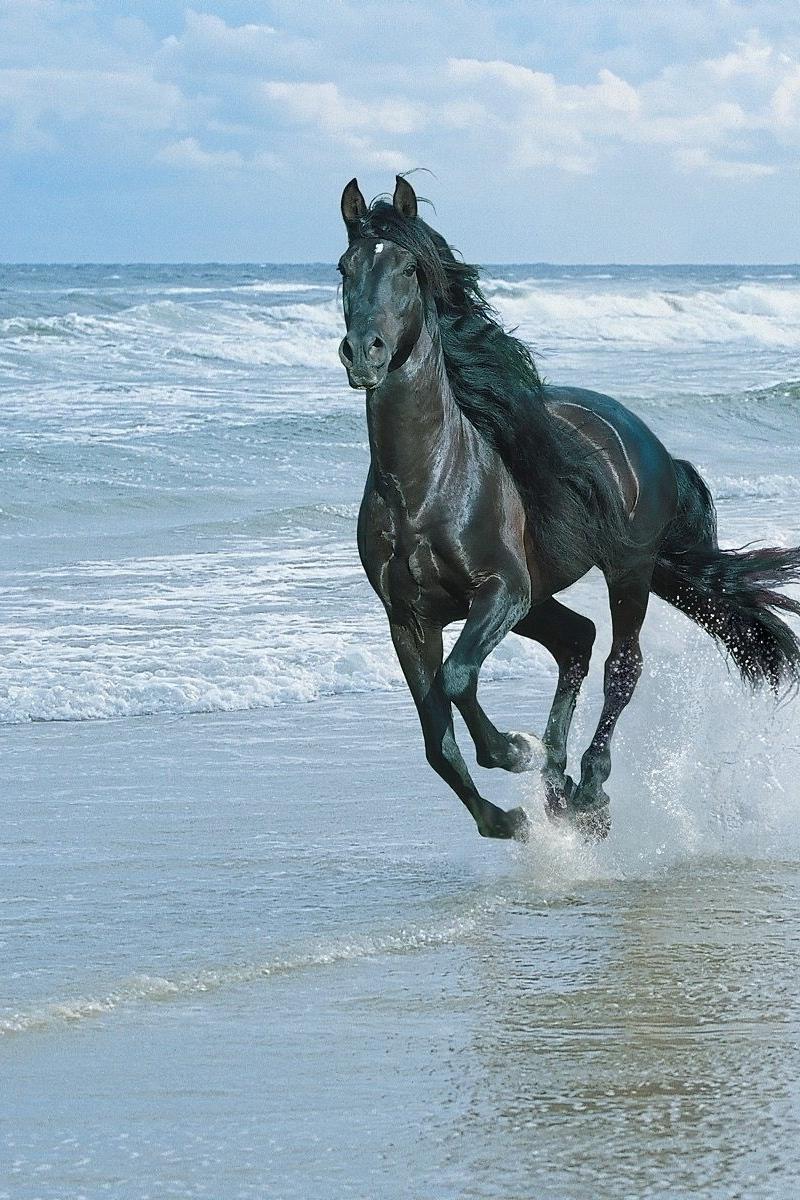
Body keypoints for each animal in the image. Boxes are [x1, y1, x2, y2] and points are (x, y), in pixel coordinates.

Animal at [336, 174, 800, 841]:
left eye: (407, 268)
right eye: (344, 267)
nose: (362, 353)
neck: (426, 489)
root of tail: (645, 439)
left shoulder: (500, 591)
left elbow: (457, 679)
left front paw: (514, 750)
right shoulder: (409, 619)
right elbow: (436, 740)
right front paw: (508, 817)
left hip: (625, 572)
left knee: (620, 666)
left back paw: (588, 788)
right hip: (541, 599)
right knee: (577, 642)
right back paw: (558, 788)